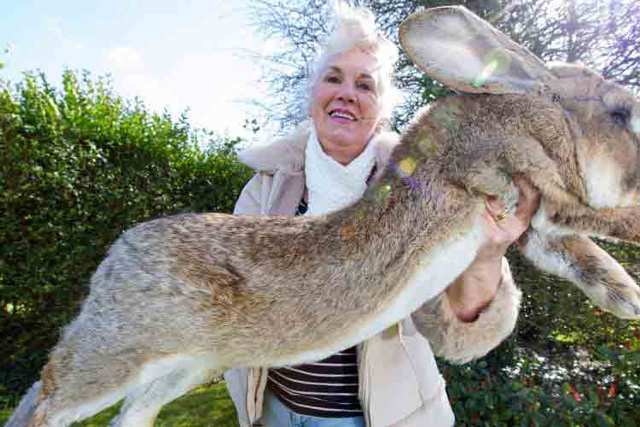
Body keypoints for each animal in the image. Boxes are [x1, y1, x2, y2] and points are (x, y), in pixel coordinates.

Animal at [6, 5, 640, 427]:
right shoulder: (530, 181)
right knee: (50, 397)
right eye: (623, 112)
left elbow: (579, 253)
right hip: (117, 353)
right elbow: (602, 219)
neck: (538, 114)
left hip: (181, 367)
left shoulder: (538, 223)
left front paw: (626, 298)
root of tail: (117, 256)